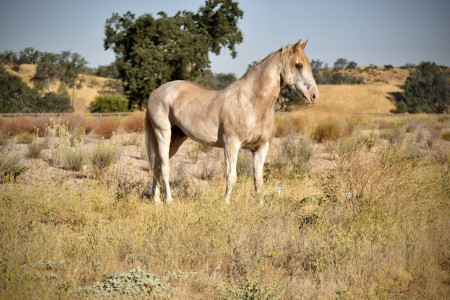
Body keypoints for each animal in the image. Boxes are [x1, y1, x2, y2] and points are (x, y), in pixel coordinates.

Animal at [146, 39, 318, 204]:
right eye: (299, 65)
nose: (314, 95)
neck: (251, 102)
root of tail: (156, 92)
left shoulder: (261, 148)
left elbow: (258, 179)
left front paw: (260, 205)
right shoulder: (231, 145)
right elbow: (231, 177)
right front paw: (226, 203)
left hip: (176, 138)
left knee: (157, 166)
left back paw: (156, 200)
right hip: (163, 134)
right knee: (164, 167)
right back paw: (168, 201)